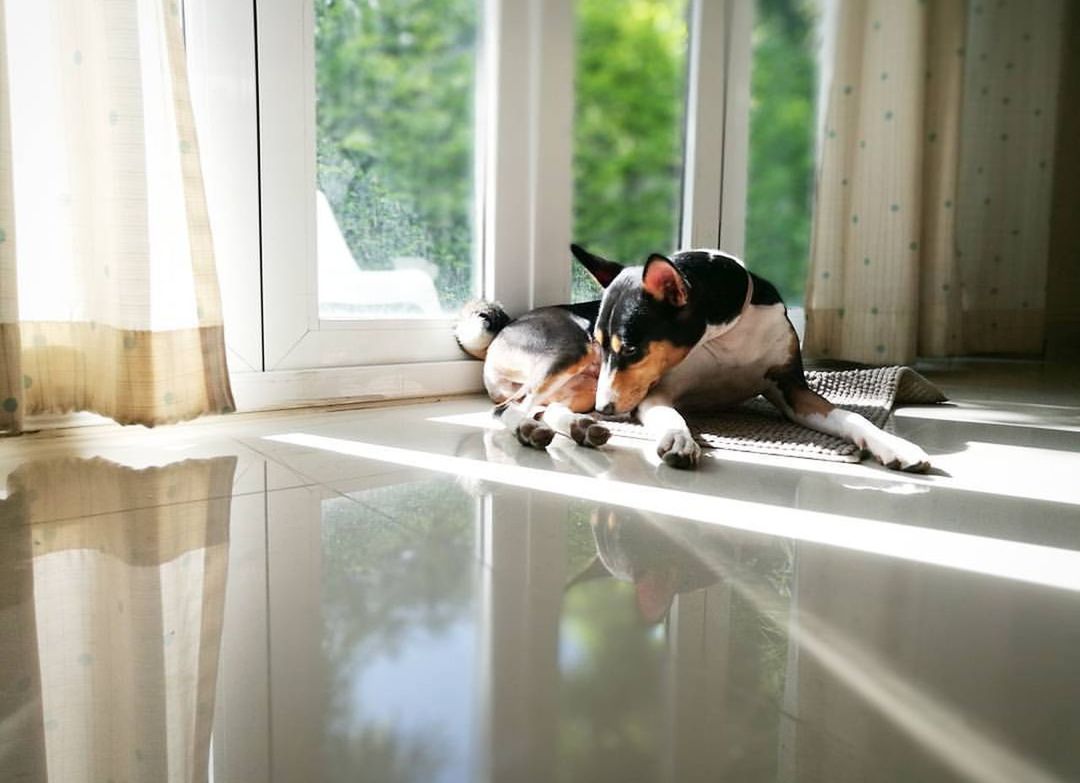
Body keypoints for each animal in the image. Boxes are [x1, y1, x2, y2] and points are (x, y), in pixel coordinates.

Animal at [453, 246, 928, 470]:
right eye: (607, 345)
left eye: (630, 348)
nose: (610, 410)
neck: (728, 333)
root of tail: (507, 326)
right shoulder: (656, 393)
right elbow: (673, 417)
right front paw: (681, 441)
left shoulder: (791, 387)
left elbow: (852, 418)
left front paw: (896, 447)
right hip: (571, 353)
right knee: (507, 409)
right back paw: (534, 431)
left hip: (583, 385)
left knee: (546, 408)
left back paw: (581, 428)